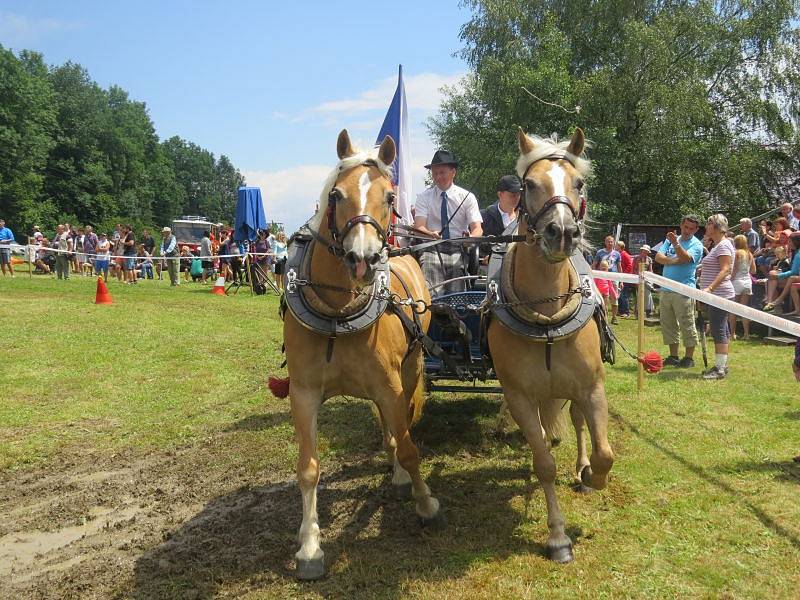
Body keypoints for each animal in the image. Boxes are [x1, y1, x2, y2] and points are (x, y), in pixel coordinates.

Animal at [282, 129, 440, 580]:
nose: (363, 258)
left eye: (389, 196)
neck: (338, 314)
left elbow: (409, 446)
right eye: (336, 195)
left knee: (403, 423)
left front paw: (425, 502)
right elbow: (308, 469)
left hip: (411, 368)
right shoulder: (303, 393)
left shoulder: (390, 385)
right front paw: (310, 546)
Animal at [488, 126, 612, 564]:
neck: (546, 317)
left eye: (579, 183)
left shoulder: (591, 388)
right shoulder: (521, 395)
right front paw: (558, 537)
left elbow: (605, 452)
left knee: (575, 423)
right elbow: (543, 462)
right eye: (530, 184)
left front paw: (591, 473)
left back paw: (580, 465)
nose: (562, 233)